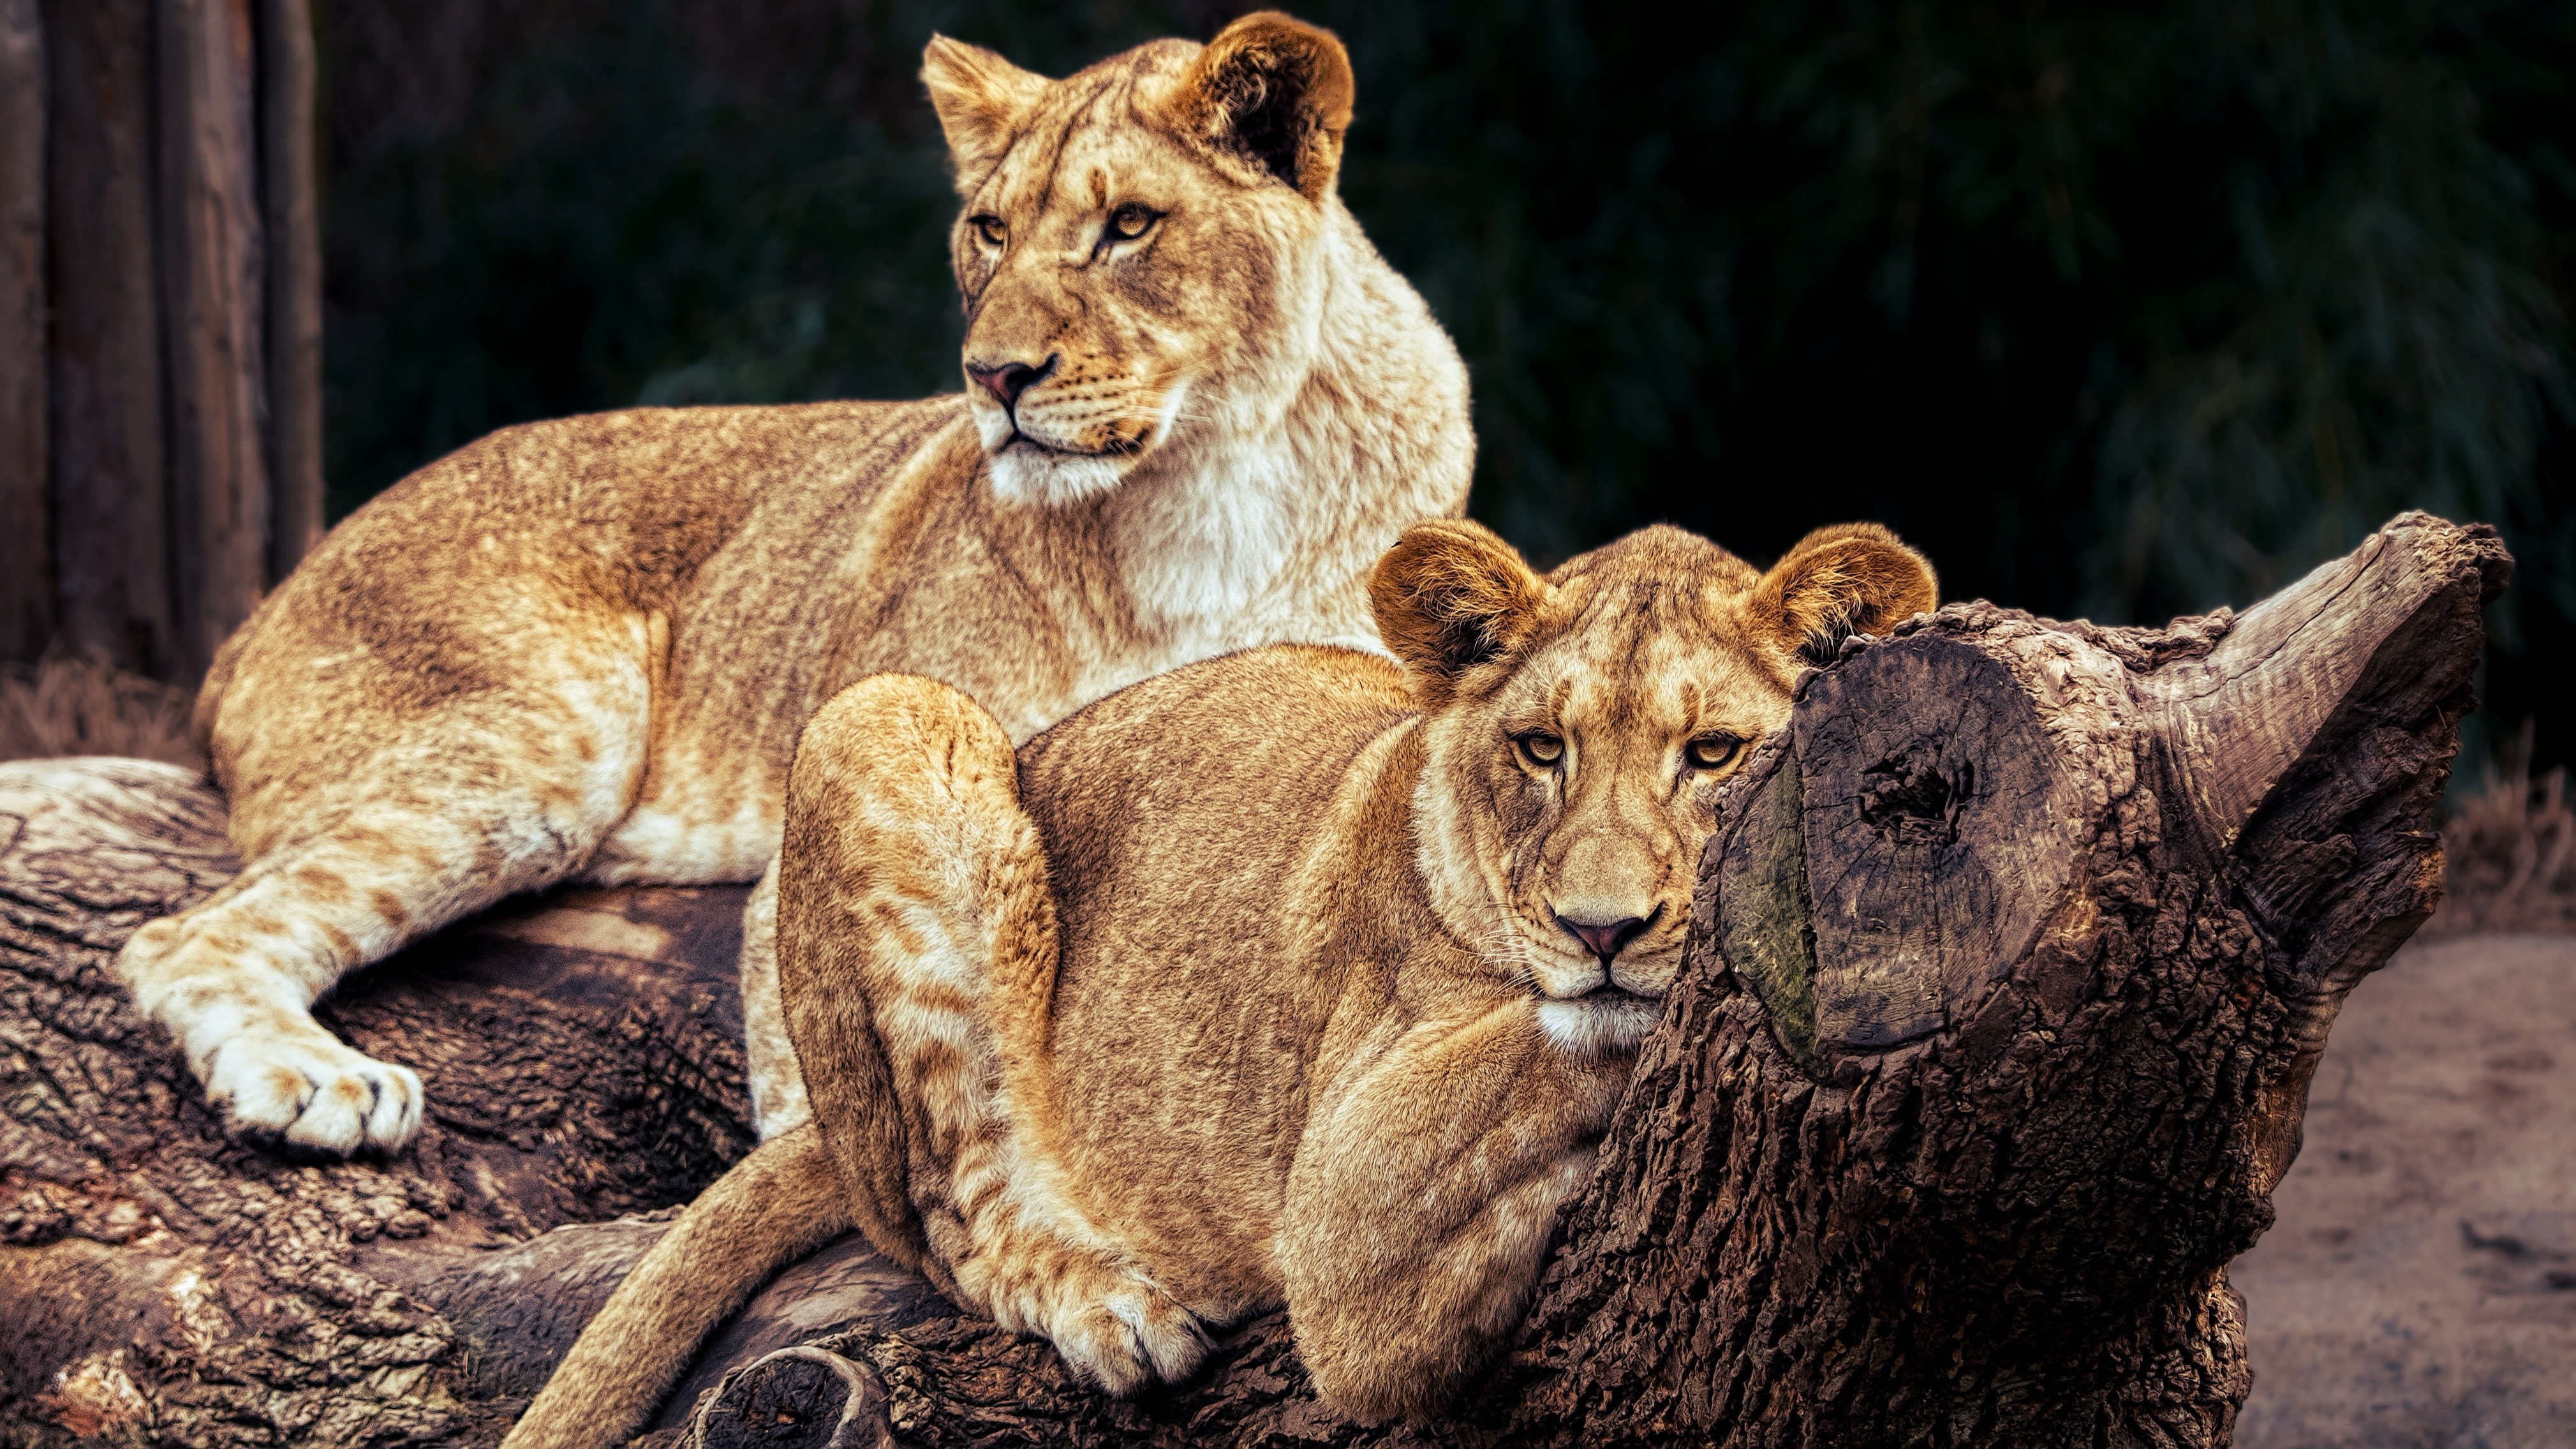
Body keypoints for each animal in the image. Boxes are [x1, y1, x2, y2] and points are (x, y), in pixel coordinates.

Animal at [110, 11, 1473, 1155]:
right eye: (989, 230)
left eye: (1129, 225)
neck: (1204, 493)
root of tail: (262, 607)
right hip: (538, 736)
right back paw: (315, 1080)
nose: (991, 377)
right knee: (180, 934)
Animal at [502, 518, 1936, 1447]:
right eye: (1540, 748)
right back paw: (1111, 1307)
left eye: (1715, 753)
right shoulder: (1347, 1215)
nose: (1600, 928)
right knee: (943, 1208)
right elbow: (1553, 1045)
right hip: (894, 717)